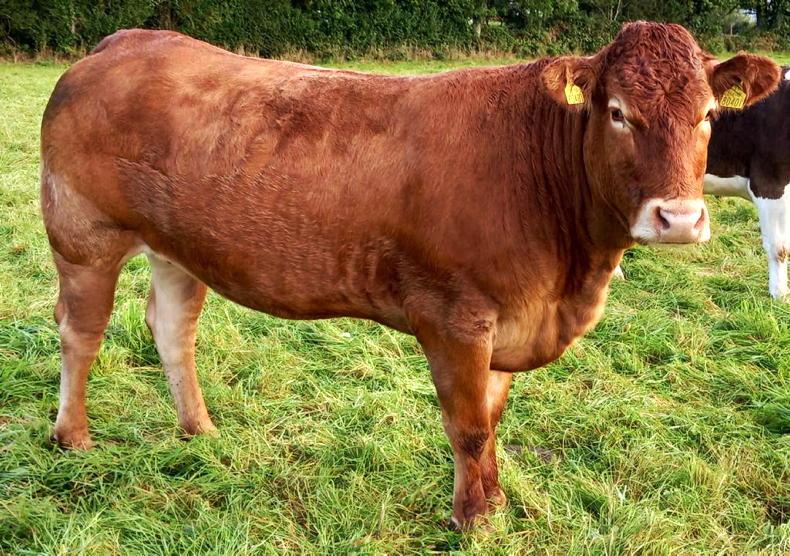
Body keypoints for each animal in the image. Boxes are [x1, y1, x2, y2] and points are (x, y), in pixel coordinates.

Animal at [40, 23, 779, 528]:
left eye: (710, 115)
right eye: (618, 111)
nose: (678, 219)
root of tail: (127, 41)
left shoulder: (509, 320)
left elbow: (493, 416)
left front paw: (494, 500)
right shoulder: (454, 316)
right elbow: (468, 425)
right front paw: (473, 519)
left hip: (177, 247)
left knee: (172, 329)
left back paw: (200, 430)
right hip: (83, 236)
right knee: (80, 334)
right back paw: (72, 438)